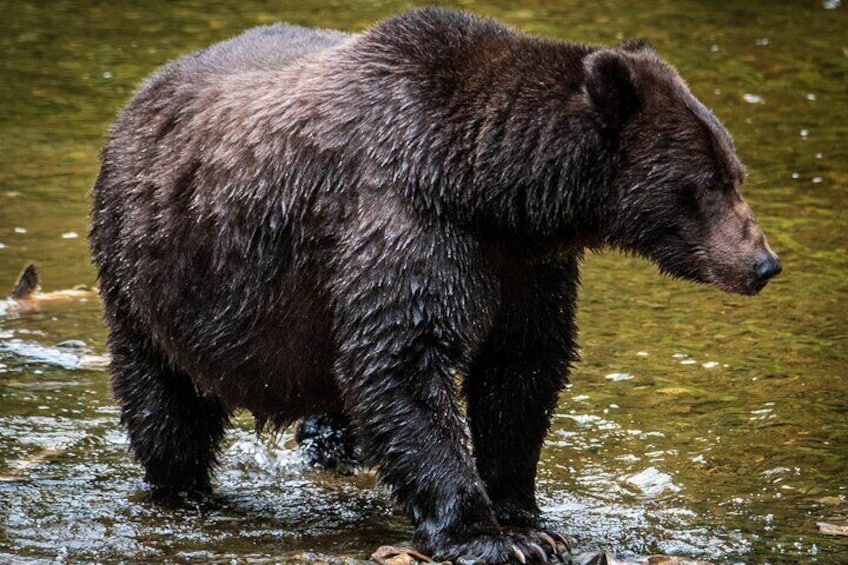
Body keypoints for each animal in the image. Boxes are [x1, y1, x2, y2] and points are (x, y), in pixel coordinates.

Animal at [89, 8, 781, 564]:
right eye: (711, 181)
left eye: (734, 171)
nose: (764, 263)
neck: (490, 189)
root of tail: (140, 96)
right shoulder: (410, 222)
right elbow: (405, 361)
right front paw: (493, 537)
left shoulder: (526, 268)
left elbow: (520, 371)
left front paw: (527, 514)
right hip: (150, 273)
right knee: (165, 404)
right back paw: (185, 491)